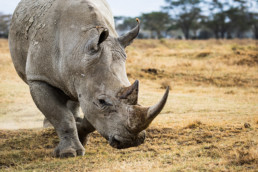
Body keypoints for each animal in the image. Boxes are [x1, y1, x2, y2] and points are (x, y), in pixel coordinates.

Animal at [8, 0, 169, 158]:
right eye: (102, 101)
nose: (132, 141)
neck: (79, 50)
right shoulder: (39, 79)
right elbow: (61, 116)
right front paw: (69, 153)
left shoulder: (86, 79)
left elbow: (91, 118)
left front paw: (80, 133)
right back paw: (49, 126)